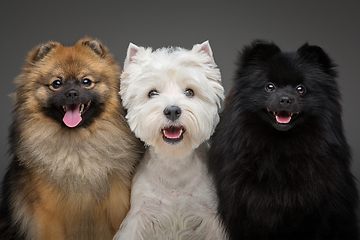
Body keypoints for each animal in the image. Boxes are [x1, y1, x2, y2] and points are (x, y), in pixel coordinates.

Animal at [0, 36, 143, 239]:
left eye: (86, 81)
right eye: (57, 83)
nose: (72, 93)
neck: (77, 150)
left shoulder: (116, 208)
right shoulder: (48, 214)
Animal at [113, 41, 225, 240]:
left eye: (189, 92)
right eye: (152, 93)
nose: (172, 110)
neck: (174, 166)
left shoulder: (210, 213)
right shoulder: (140, 213)